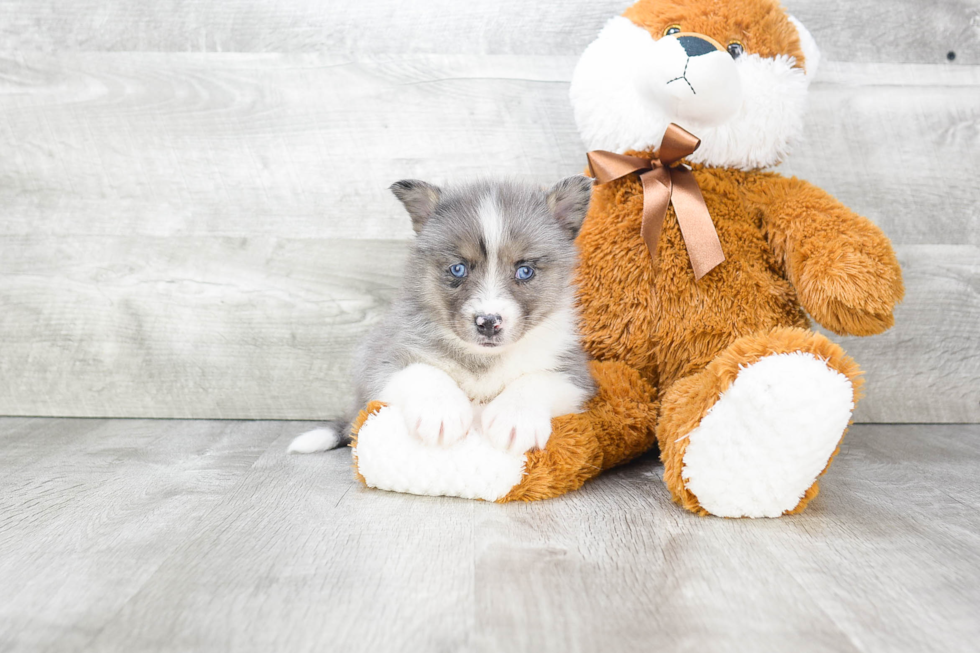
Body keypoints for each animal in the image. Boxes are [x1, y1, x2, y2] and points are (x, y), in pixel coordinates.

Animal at [290, 176, 596, 456]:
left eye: (525, 271)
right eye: (458, 268)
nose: (488, 322)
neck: (483, 360)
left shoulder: (575, 373)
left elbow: (538, 380)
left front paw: (515, 418)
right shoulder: (382, 361)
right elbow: (423, 371)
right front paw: (440, 412)